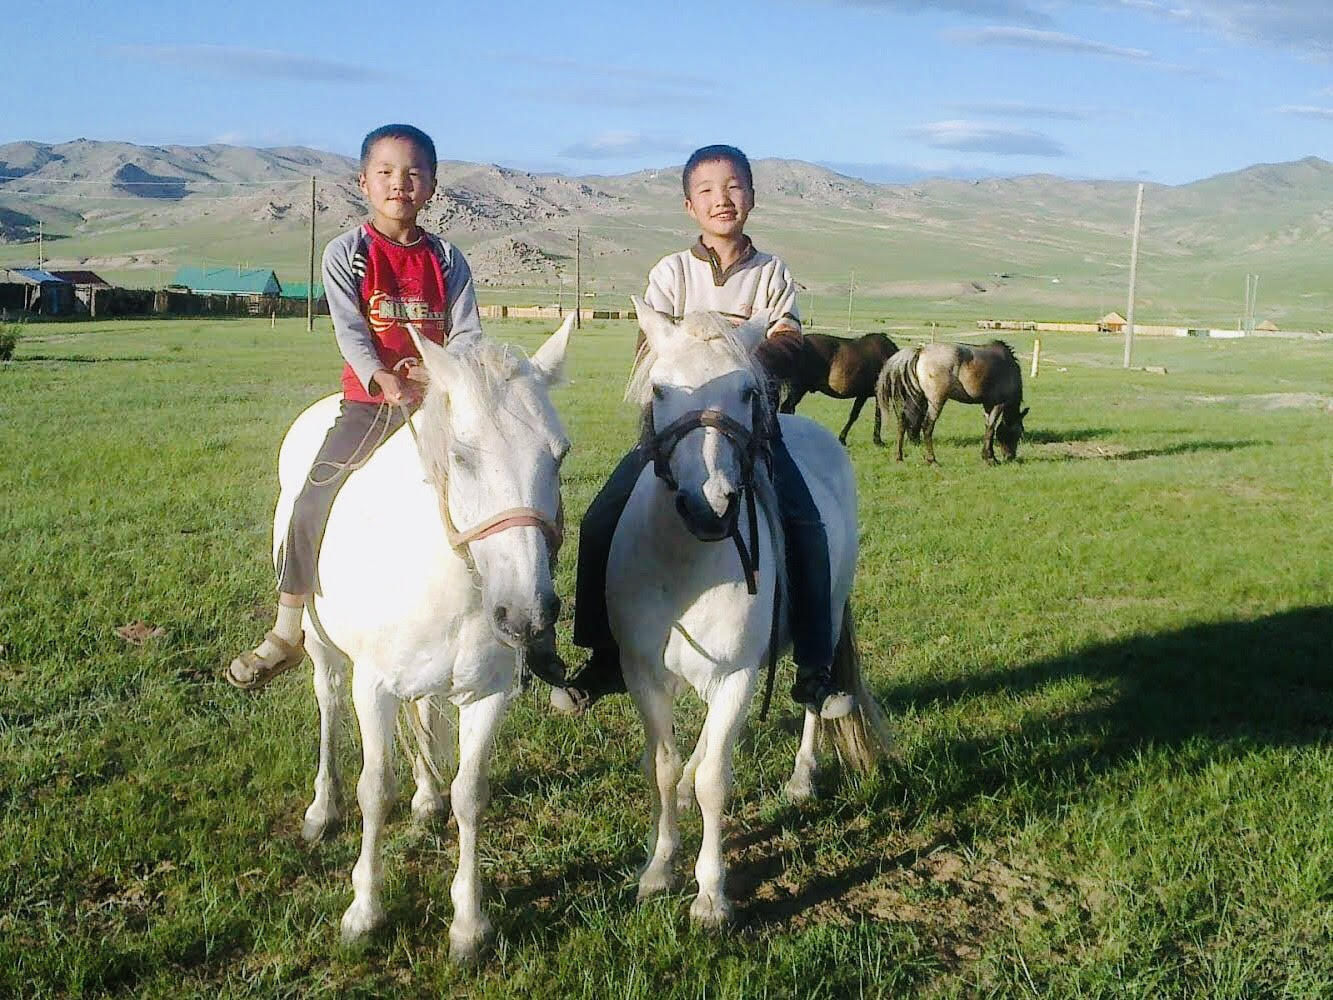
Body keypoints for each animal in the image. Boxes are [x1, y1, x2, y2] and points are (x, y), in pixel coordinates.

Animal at [280, 317, 573, 959]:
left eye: (559, 456)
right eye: (460, 457)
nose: (525, 616)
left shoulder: (488, 695)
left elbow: (471, 792)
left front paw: (468, 923)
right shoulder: (373, 689)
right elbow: (374, 789)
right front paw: (364, 911)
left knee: (427, 716)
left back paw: (426, 796)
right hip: (321, 647)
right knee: (327, 705)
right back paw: (321, 808)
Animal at [609, 298, 893, 927]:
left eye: (745, 390)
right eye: (659, 390)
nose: (708, 505)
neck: (686, 562)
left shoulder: (737, 677)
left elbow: (717, 780)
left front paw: (711, 897)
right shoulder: (644, 676)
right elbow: (663, 767)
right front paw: (658, 870)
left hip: (822, 626)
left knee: (814, 698)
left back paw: (802, 778)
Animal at [875, 340, 1028, 464]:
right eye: (1017, 433)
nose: (1010, 456)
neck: (1008, 367)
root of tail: (920, 351)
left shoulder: (987, 405)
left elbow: (988, 427)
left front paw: (988, 456)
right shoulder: (998, 404)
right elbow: (991, 428)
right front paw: (990, 458)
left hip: (914, 398)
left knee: (902, 423)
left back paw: (899, 457)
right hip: (935, 401)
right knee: (927, 427)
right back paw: (932, 459)